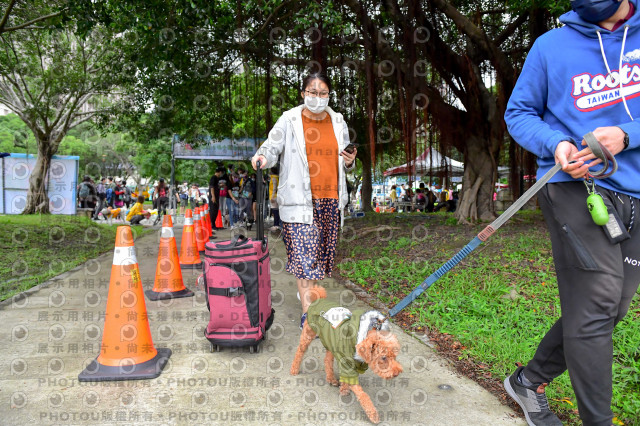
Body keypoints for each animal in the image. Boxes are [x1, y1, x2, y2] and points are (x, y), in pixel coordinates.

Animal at [292, 286, 402, 422]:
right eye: (384, 357)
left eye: (395, 356)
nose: (397, 373)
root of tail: (319, 299)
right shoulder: (348, 365)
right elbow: (362, 394)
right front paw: (373, 414)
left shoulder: (350, 362)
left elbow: (346, 379)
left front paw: (344, 389)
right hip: (308, 335)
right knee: (299, 352)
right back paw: (294, 369)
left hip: (330, 341)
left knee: (327, 360)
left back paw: (331, 379)